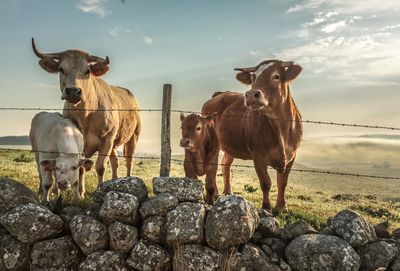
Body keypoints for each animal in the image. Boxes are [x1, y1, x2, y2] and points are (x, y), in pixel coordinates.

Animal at [32, 38, 142, 186]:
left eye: (87, 70)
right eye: (61, 69)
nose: (73, 91)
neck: (87, 114)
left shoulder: (107, 139)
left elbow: (100, 166)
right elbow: (81, 168)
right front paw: (82, 191)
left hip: (133, 136)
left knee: (129, 160)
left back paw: (129, 179)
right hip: (115, 142)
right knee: (115, 161)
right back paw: (115, 180)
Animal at [203, 59, 304, 212]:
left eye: (276, 76)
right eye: (253, 78)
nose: (251, 94)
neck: (281, 128)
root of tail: (218, 95)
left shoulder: (292, 156)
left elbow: (282, 182)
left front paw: (282, 207)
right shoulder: (258, 156)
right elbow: (266, 183)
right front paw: (266, 208)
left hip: (230, 146)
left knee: (225, 164)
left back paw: (227, 192)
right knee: (212, 167)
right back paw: (214, 193)